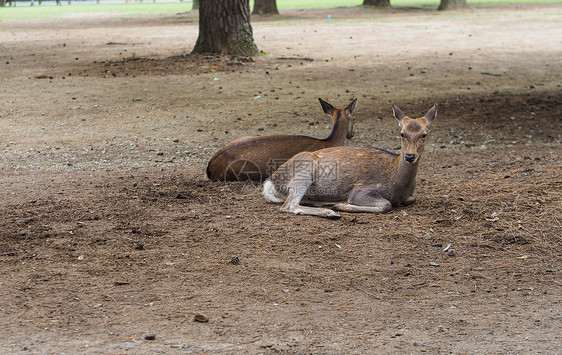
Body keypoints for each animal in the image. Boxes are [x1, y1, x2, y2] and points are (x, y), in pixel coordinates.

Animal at [262, 103, 438, 220]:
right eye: (402, 133)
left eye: (424, 134)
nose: (409, 156)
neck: (398, 184)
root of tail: (270, 183)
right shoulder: (361, 190)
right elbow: (386, 204)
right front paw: (343, 205)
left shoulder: (408, 196)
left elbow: (411, 199)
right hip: (304, 169)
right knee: (289, 205)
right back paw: (331, 211)